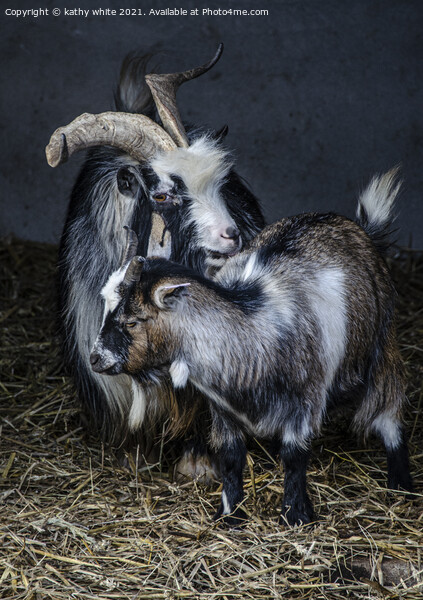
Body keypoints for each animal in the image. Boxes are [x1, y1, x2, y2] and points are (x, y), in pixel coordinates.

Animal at [90, 170, 414, 524]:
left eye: (133, 320)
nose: (96, 358)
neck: (252, 324)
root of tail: (357, 228)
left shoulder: (305, 400)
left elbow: (294, 455)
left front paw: (297, 515)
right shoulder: (222, 409)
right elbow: (231, 456)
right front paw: (230, 515)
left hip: (383, 347)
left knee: (389, 415)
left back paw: (402, 485)